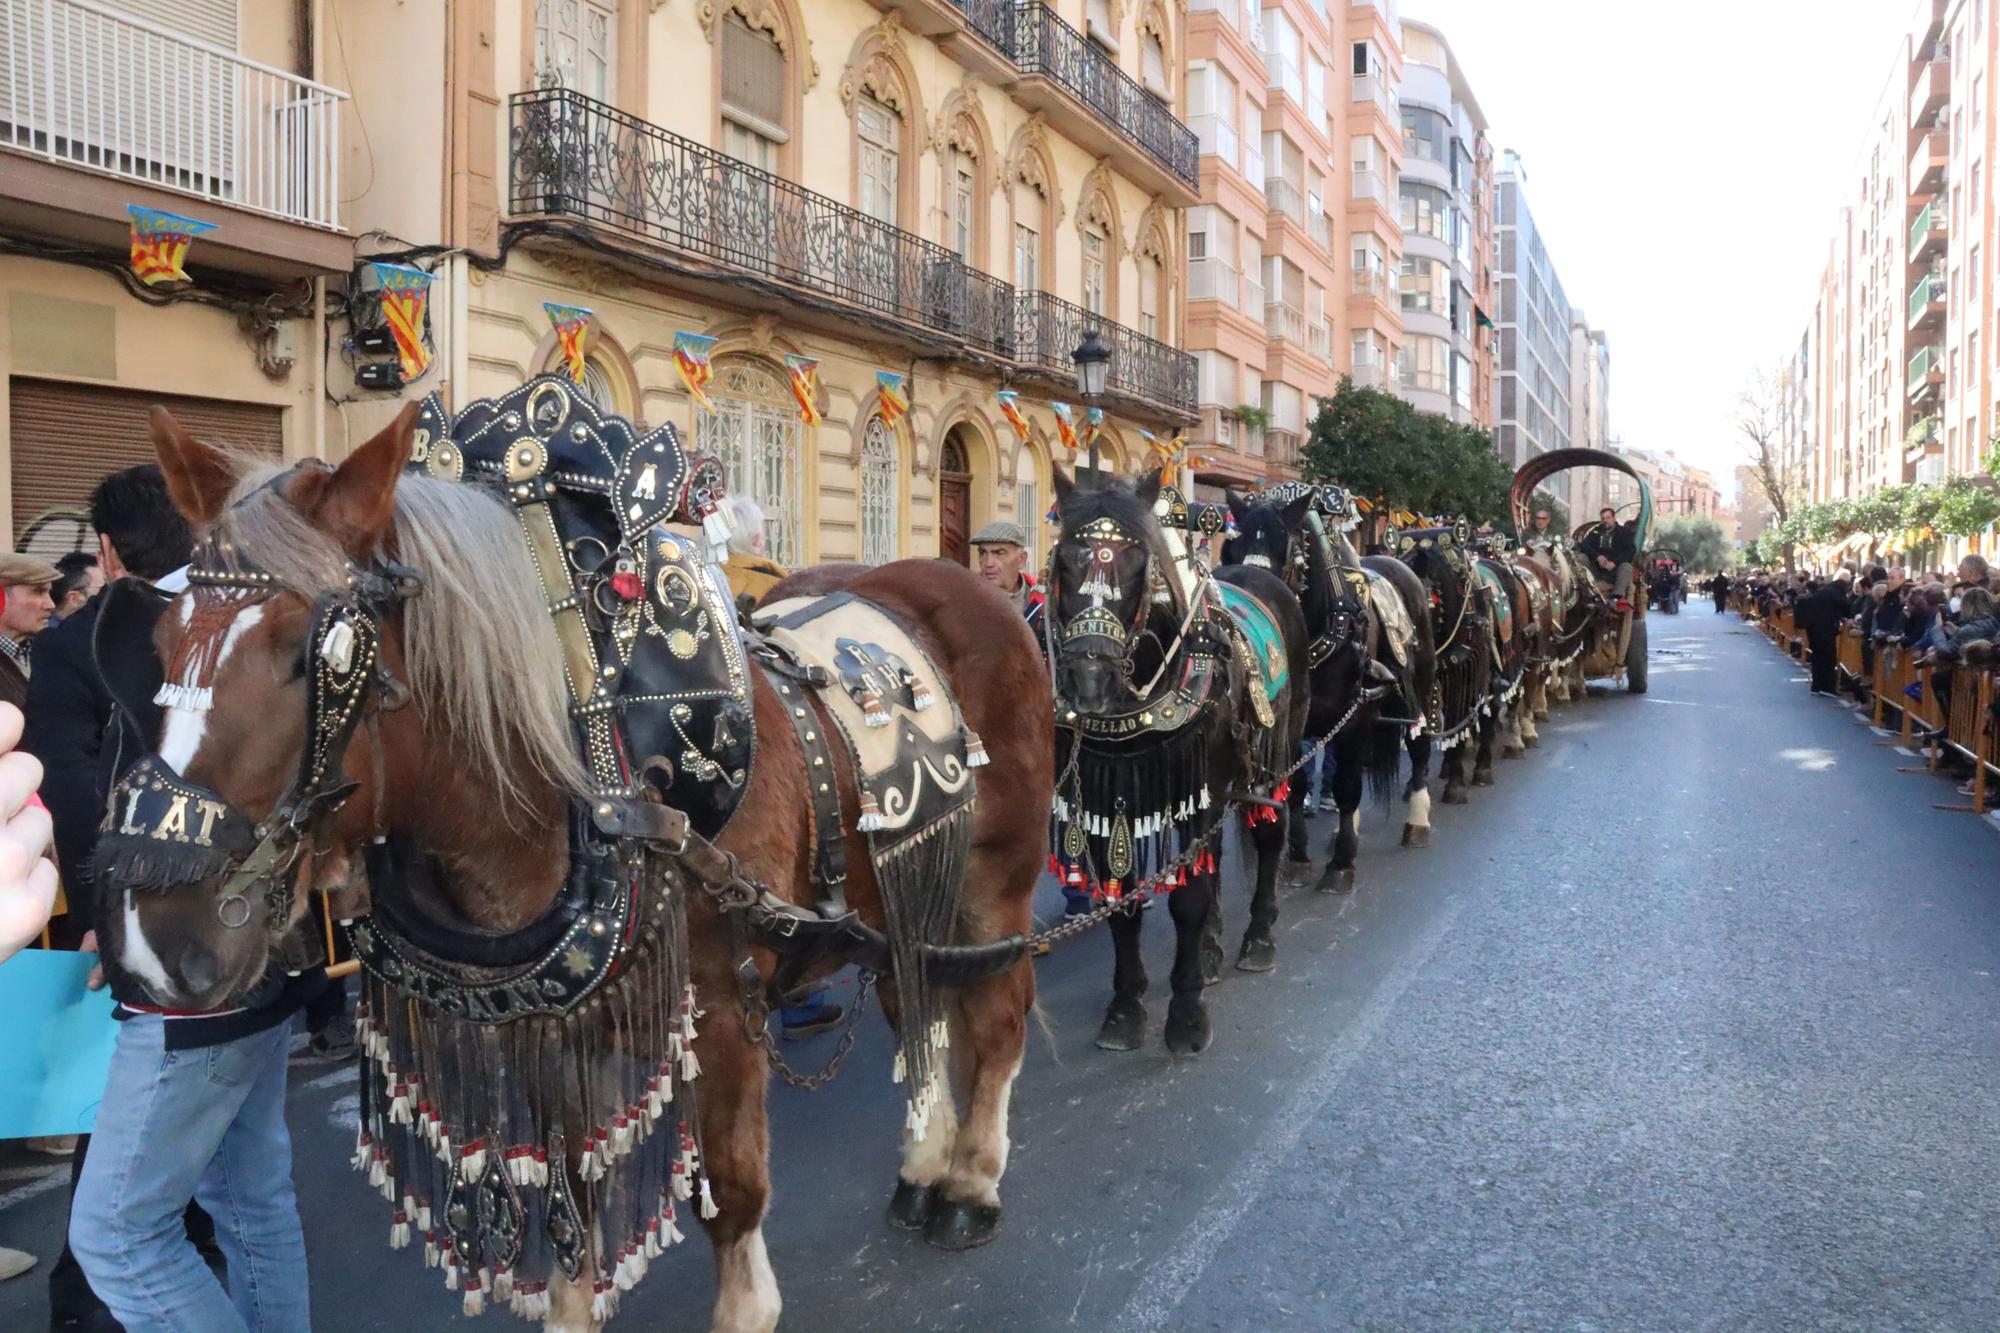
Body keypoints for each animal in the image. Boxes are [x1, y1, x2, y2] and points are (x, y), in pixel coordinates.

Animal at [111, 408, 1056, 1328]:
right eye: (159, 637)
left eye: (317, 657)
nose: (156, 940)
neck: (592, 767)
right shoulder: (558, 1029)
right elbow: (570, 1196)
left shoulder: (722, 1009)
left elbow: (731, 1191)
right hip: (901, 889)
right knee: (918, 1004)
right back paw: (925, 1164)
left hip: (994, 881)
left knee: (997, 1014)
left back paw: (970, 1182)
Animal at [1048, 462, 1312, 1056]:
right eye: (1063, 562)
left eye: (1138, 564)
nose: (1090, 680)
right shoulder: (1108, 796)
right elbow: (1122, 902)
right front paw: (1125, 1010)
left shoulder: (1201, 790)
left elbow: (1187, 899)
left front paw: (1187, 1015)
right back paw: (1212, 949)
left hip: (1276, 750)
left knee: (1269, 832)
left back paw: (1257, 938)